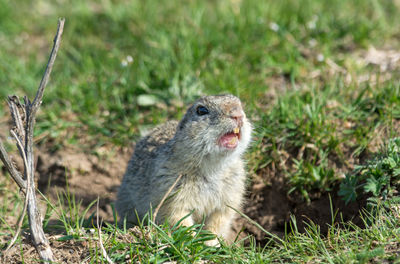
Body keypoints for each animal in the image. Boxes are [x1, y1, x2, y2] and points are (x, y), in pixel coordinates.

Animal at [115, 94, 252, 244]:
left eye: (240, 105)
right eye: (201, 110)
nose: (238, 115)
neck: (212, 168)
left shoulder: (229, 198)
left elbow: (218, 222)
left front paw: (211, 243)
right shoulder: (171, 194)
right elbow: (180, 219)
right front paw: (191, 240)